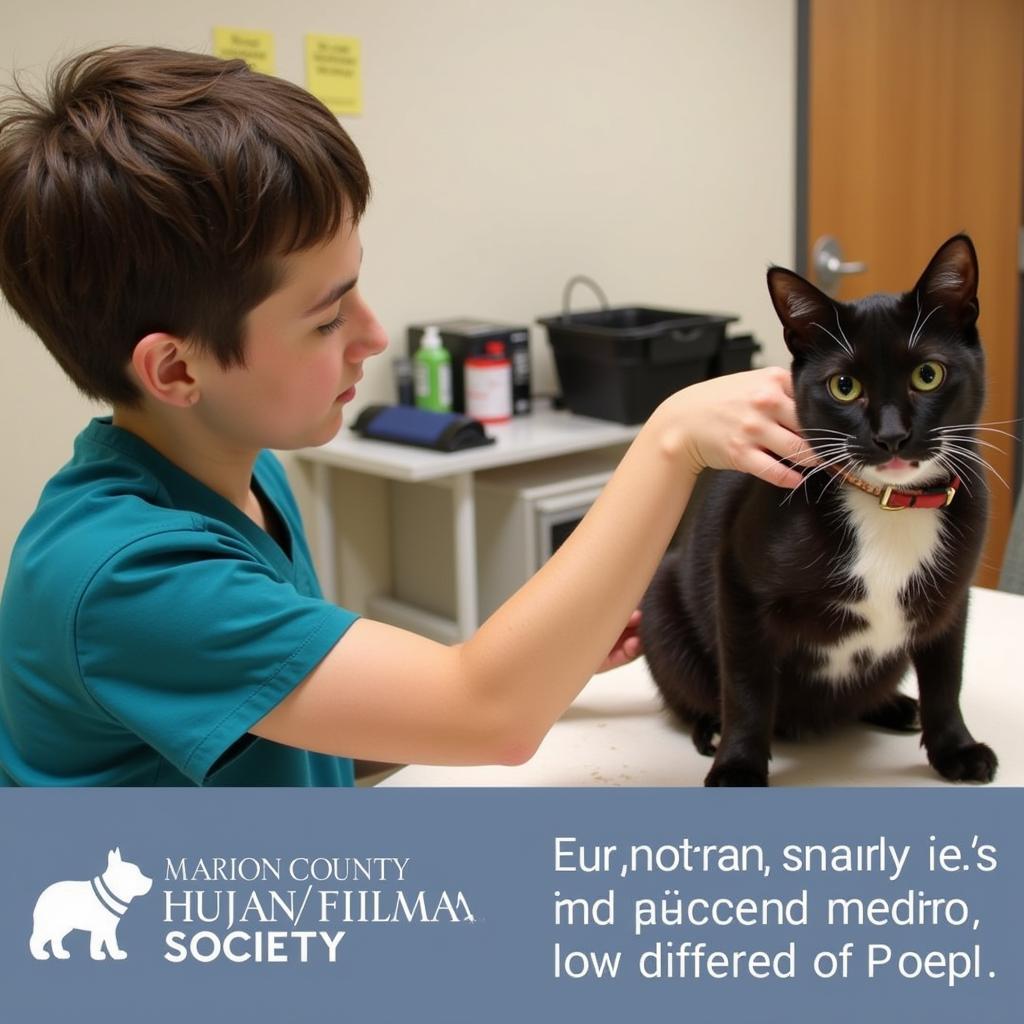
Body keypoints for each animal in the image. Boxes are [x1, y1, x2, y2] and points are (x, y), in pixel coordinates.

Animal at [643, 234, 995, 782]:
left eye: (928, 374)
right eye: (843, 387)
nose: (891, 436)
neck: (888, 506)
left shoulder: (951, 595)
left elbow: (945, 675)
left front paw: (956, 749)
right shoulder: (738, 581)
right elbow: (745, 683)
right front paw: (738, 765)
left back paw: (895, 705)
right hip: (661, 603)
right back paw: (712, 728)